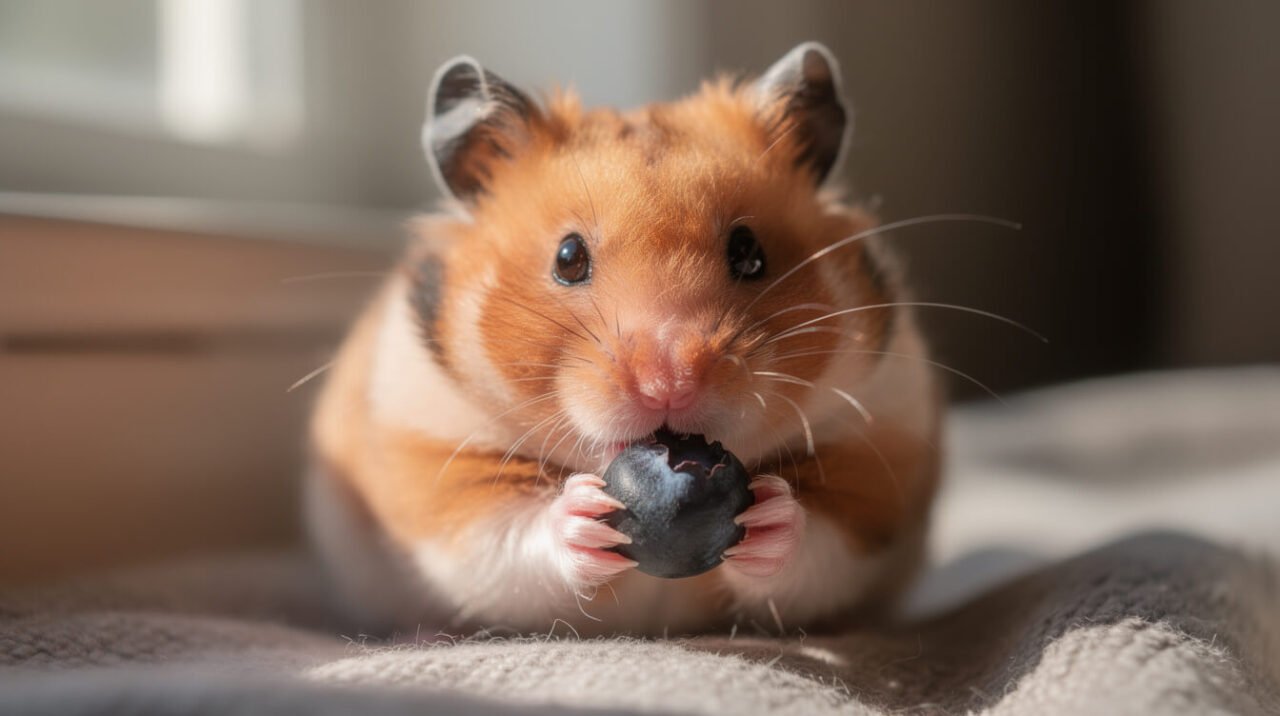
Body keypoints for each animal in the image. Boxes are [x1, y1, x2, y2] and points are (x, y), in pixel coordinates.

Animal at [306, 42, 941, 637]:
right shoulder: (437, 471)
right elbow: (500, 537)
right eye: (568, 258)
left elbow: (820, 543)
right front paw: (586, 514)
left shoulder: (875, 460)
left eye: (749, 253)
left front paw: (768, 517)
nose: (669, 385)